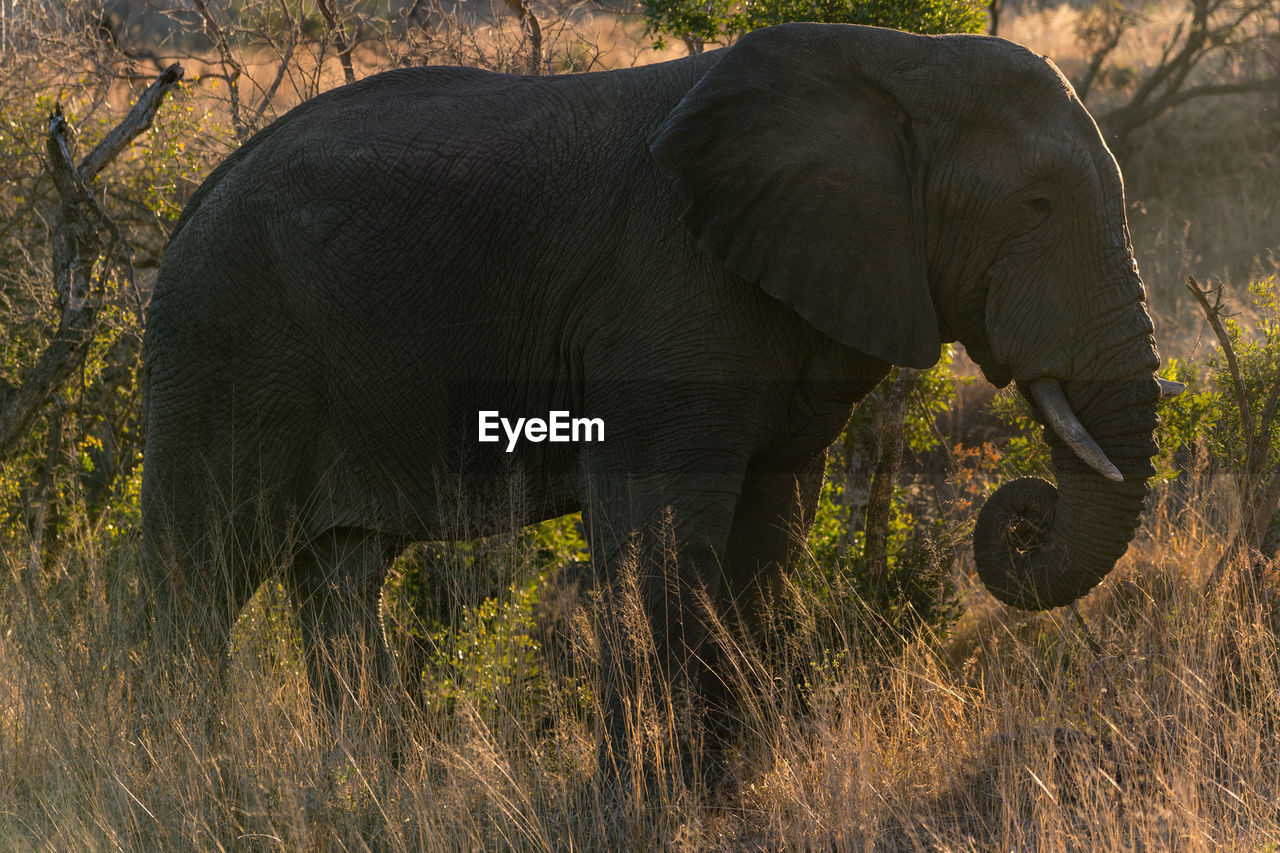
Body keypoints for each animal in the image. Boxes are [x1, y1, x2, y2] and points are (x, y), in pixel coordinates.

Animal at [140, 18, 1172, 753]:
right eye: (1034, 206)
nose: (1024, 514)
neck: (897, 61)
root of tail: (193, 197)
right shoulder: (659, 294)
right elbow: (658, 541)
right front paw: (651, 792)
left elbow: (766, 539)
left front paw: (728, 776)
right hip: (225, 350)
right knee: (192, 587)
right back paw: (182, 775)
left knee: (341, 585)